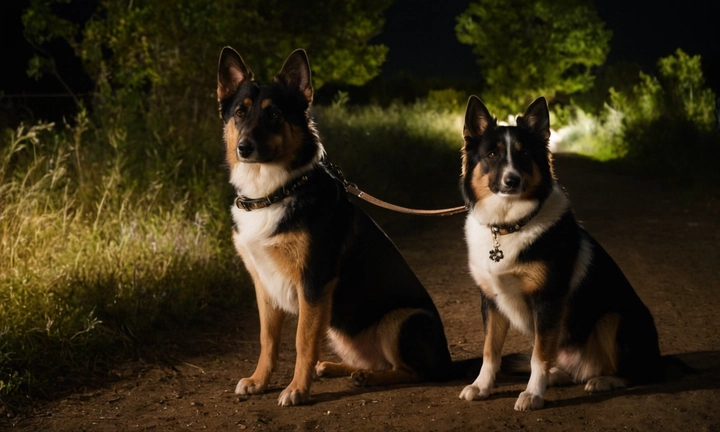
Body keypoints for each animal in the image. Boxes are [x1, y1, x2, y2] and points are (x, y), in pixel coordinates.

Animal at [217, 47, 456, 404]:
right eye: (240, 113)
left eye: (274, 114)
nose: (244, 148)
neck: (275, 191)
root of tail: (449, 361)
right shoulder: (264, 285)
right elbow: (268, 340)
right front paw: (259, 380)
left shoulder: (314, 283)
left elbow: (302, 341)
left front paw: (296, 390)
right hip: (342, 331)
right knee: (373, 361)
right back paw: (338, 369)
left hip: (400, 320)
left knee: (414, 372)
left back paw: (369, 378)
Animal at [458, 96, 660, 410]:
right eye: (491, 154)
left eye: (524, 154)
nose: (512, 180)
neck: (509, 225)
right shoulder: (490, 302)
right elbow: (490, 351)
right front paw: (481, 386)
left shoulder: (548, 300)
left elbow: (538, 355)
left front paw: (532, 394)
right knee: (567, 367)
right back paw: (559, 376)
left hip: (614, 319)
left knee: (635, 372)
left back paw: (603, 380)